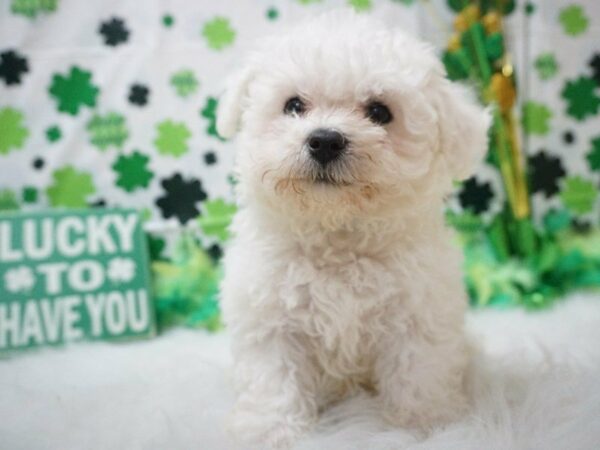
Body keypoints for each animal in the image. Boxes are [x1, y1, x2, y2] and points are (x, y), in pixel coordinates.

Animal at [218, 8, 490, 448]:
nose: (325, 140)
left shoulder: (419, 314)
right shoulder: (270, 319)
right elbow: (273, 379)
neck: (338, 236)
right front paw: (269, 430)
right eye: (294, 105)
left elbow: (419, 369)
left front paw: (428, 424)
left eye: (379, 112)